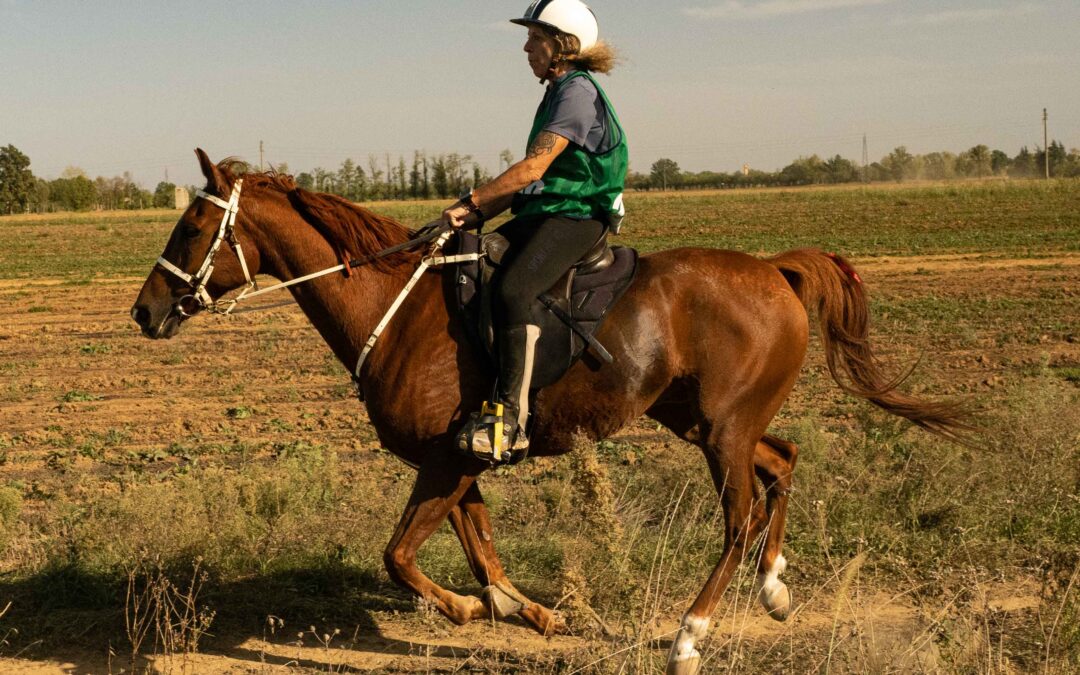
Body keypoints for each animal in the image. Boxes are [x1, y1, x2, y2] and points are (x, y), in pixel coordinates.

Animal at [130, 150, 976, 669]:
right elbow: (480, 549)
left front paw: (470, 612)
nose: (144, 310)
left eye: (194, 224)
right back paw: (773, 588)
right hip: (704, 420)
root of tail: (776, 271)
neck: (396, 307)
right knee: (785, 462)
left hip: (723, 431)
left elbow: (401, 555)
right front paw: (535, 614)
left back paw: (691, 633)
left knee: (739, 518)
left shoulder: (443, 459)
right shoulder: (459, 460)